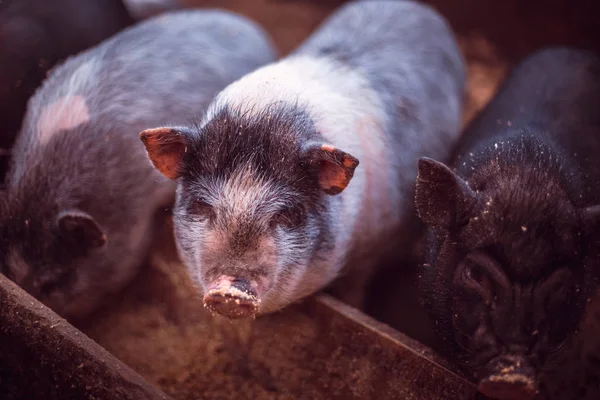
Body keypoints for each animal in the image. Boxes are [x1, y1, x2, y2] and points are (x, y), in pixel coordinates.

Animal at [139, 0, 464, 318]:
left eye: (286, 213)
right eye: (202, 205)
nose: (229, 292)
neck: (262, 115)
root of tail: (418, 8)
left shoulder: (369, 251)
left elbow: (354, 290)